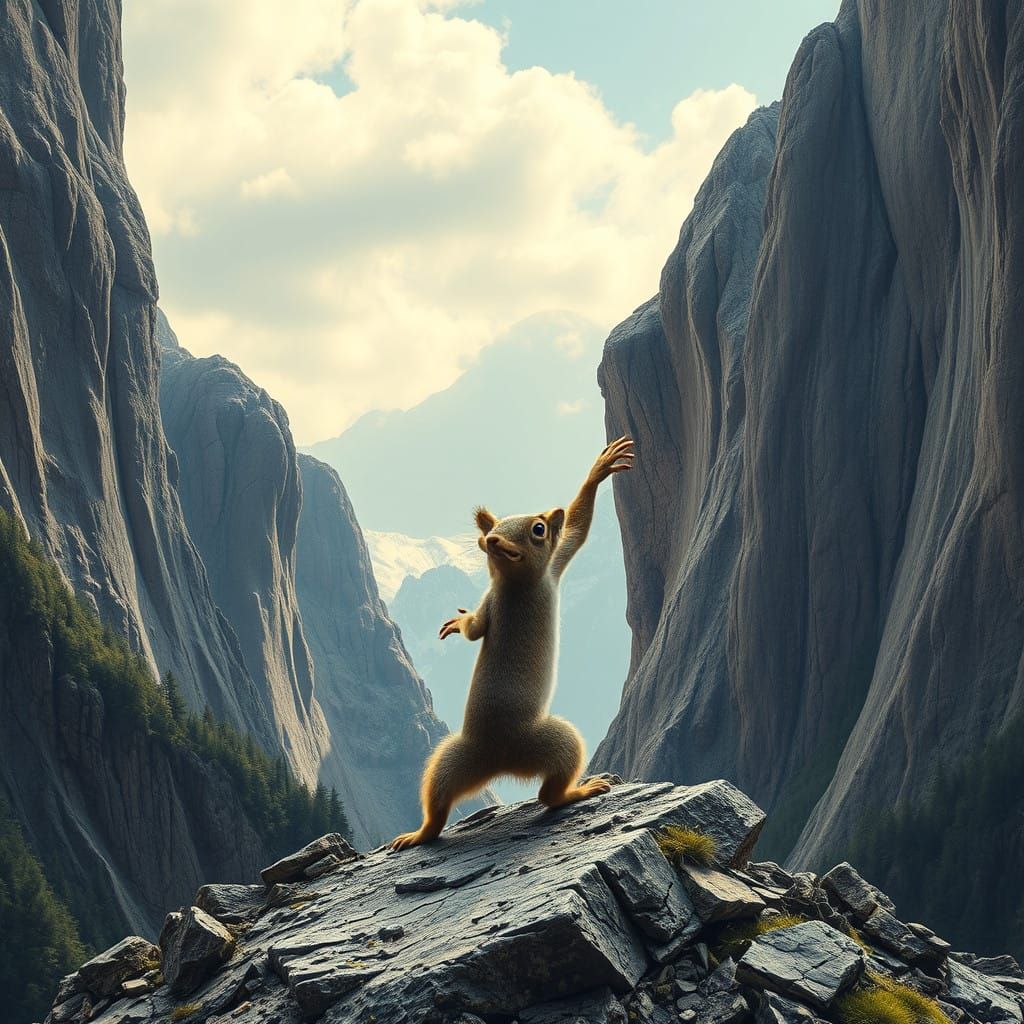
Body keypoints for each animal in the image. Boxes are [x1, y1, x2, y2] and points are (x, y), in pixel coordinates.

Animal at [390, 436, 635, 851]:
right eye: (539, 529)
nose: (555, 511)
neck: (515, 582)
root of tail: (499, 762)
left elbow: (477, 629)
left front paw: (597, 470)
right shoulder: (546, 570)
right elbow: (576, 534)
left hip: (450, 763)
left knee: (437, 803)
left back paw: (419, 834)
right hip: (552, 742)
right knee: (548, 794)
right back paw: (580, 791)